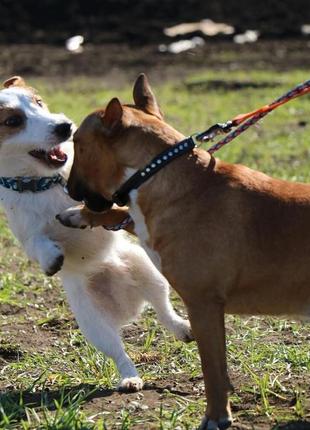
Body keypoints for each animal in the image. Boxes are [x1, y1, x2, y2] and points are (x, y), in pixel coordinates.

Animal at [0, 75, 191, 392]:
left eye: (39, 103)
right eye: (13, 120)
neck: (43, 183)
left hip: (148, 271)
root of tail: (126, 306)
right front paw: (52, 258)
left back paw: (182, 327)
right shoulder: (26, 234)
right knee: (119, 351)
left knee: (164, 309)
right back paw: (129, 377)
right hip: (93, 324)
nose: (64, 126)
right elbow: (38, 242)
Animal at [59, 75, 310, 428]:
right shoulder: (146, 225)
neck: (159, 174)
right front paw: (79, 215)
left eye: (78, 144)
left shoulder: (203, 305)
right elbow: (122, 215)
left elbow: (212, 370)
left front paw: (216, 416)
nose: (69, 190)